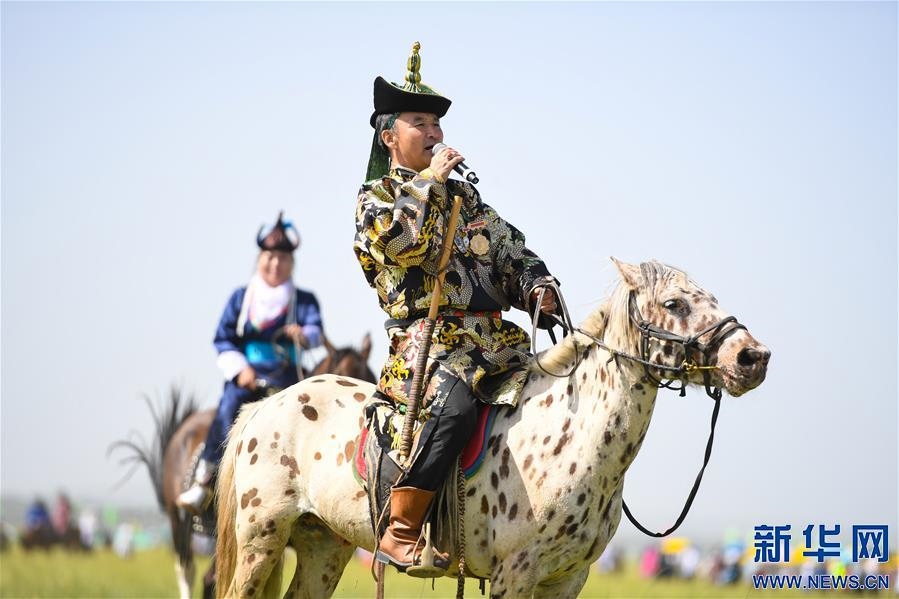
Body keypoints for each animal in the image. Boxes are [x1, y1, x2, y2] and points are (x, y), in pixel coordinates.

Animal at [214, 259, 770, 599]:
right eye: (675, 304)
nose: (753, 357)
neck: (571, 436)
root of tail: (265, 405)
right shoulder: (514, 576)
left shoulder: (567, 580)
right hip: (261, 541)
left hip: (323, 545)